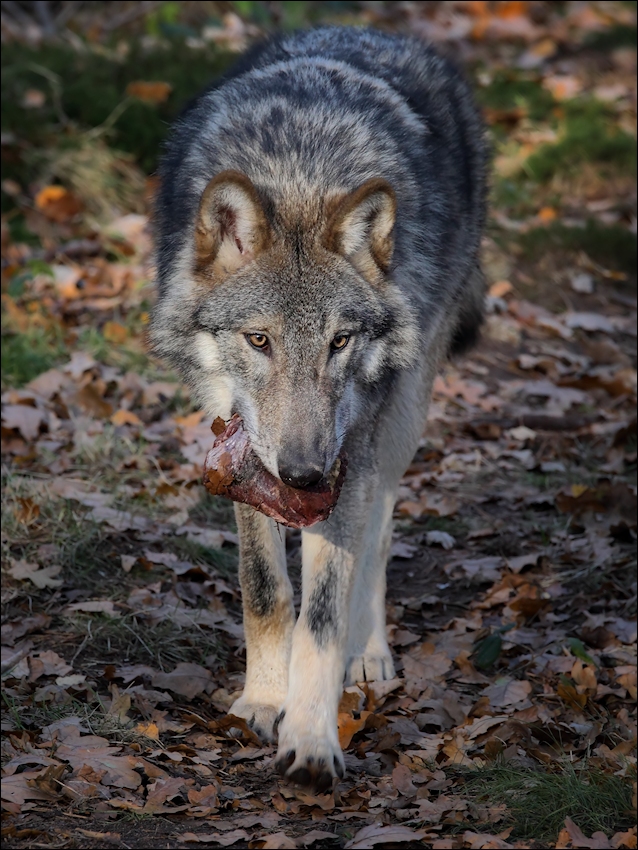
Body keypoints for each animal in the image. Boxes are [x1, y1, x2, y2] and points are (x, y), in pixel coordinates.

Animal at [151, 26, 490, 792]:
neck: (302, 174)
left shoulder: (348, 450)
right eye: (259, 340)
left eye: (339, 342)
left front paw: (310, 737)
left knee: (380, 531)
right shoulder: (240, 445)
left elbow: (324, 611)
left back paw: (369, 654)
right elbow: (267, 590)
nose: (304, 474)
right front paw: (263, 700)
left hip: (401, 414)